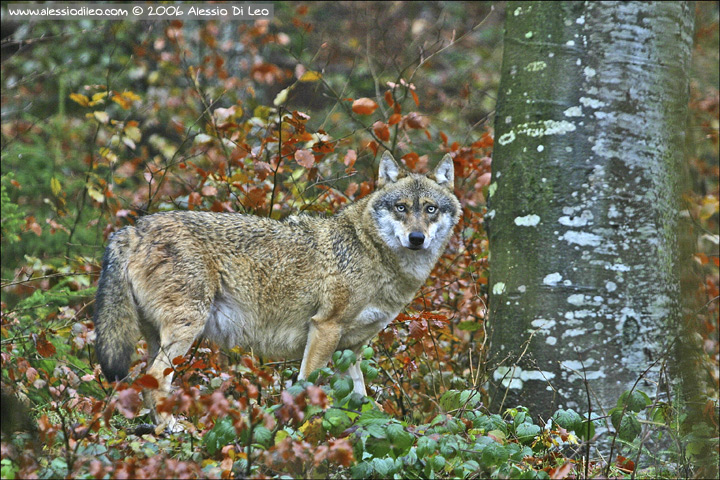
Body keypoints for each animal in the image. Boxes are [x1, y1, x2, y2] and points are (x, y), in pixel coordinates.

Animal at [93, 152, 462, 430]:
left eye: (430, 209)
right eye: (401, 207)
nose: (417, 238)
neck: (372, 252)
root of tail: (133, 229)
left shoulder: (350, 348)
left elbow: (360, 399)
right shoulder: (324, 329)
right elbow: (306, 387)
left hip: (161, 336)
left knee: (145, 380)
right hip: (186, 330)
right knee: (154, 379)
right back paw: (172, 428)